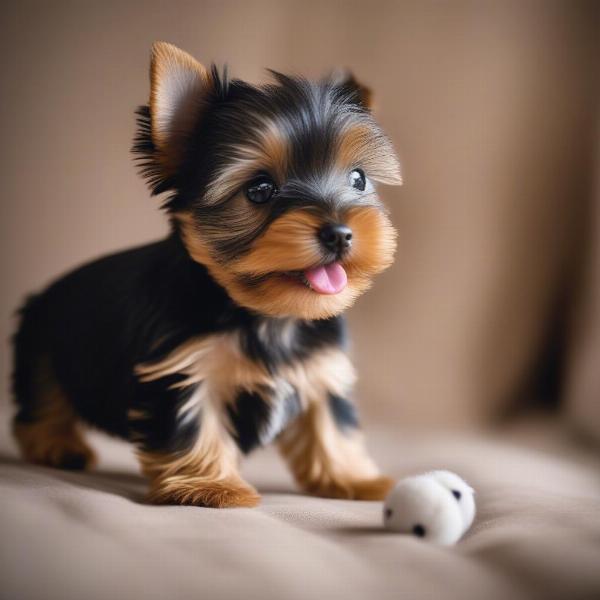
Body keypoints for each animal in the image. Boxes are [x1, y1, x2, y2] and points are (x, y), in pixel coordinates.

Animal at [10, 42, 404, 506]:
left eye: (358, 179)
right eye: (260, 190)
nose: (340, 234)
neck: (268, 316)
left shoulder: (323, 366)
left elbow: (331, 422)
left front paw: (353, 478)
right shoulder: (181, 365)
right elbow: (193, 422)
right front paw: (210, 486)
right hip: (41, 341)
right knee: (43, 395)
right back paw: (55, 444)